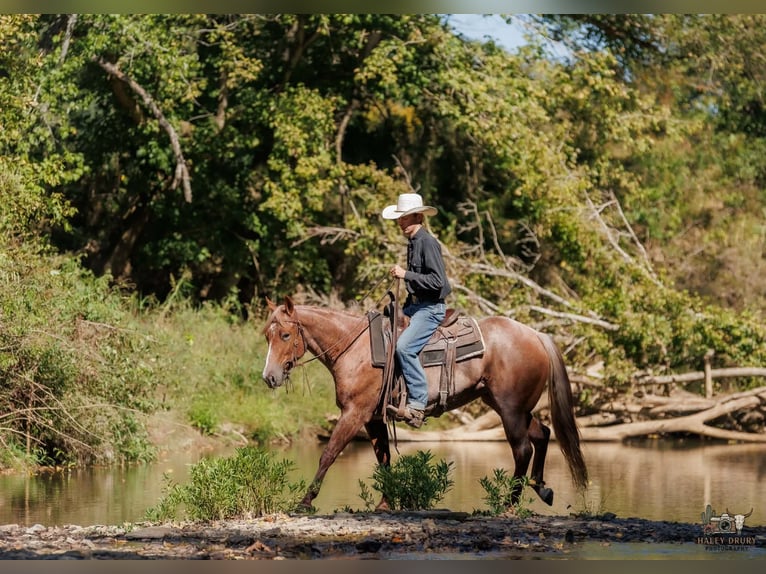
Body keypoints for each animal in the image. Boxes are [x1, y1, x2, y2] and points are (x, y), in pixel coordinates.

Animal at [261, 295, 588, 511]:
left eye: (286, 334)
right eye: (267, 335)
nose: (269, 377)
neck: (356, 348)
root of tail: (535, 334)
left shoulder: (354, 414)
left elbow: (328, 455)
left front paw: (304, 502)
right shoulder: (374, 418)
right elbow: (383, 460)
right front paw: (385, 503)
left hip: (510, 410)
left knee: (522, 449)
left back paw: (508, 504)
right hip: (511, 407)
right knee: (542, 434)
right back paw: (541, 488)